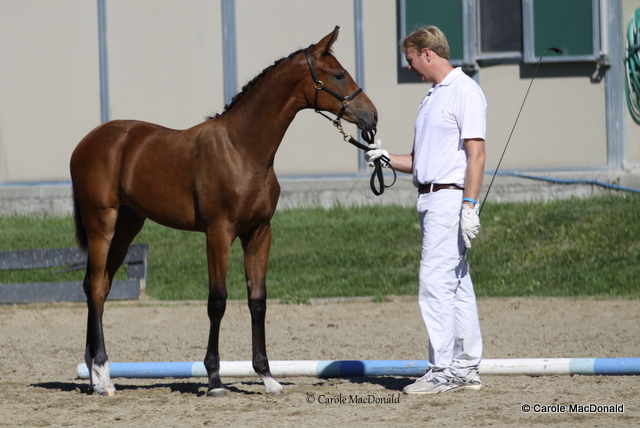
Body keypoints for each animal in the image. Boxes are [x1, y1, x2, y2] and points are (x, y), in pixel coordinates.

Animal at [71, 25, 376, 396]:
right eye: (338, 74)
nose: (372, 115)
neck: (243, 149)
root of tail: (88, 141)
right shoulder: (218, 233)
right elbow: (217, 301)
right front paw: (215, 379)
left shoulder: (259, 233)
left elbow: (257, 300)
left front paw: (267, 377)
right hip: (102, 223)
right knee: (96, 287)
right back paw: (103, 377)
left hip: (127, 227)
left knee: (98, 285)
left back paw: (95, 374)